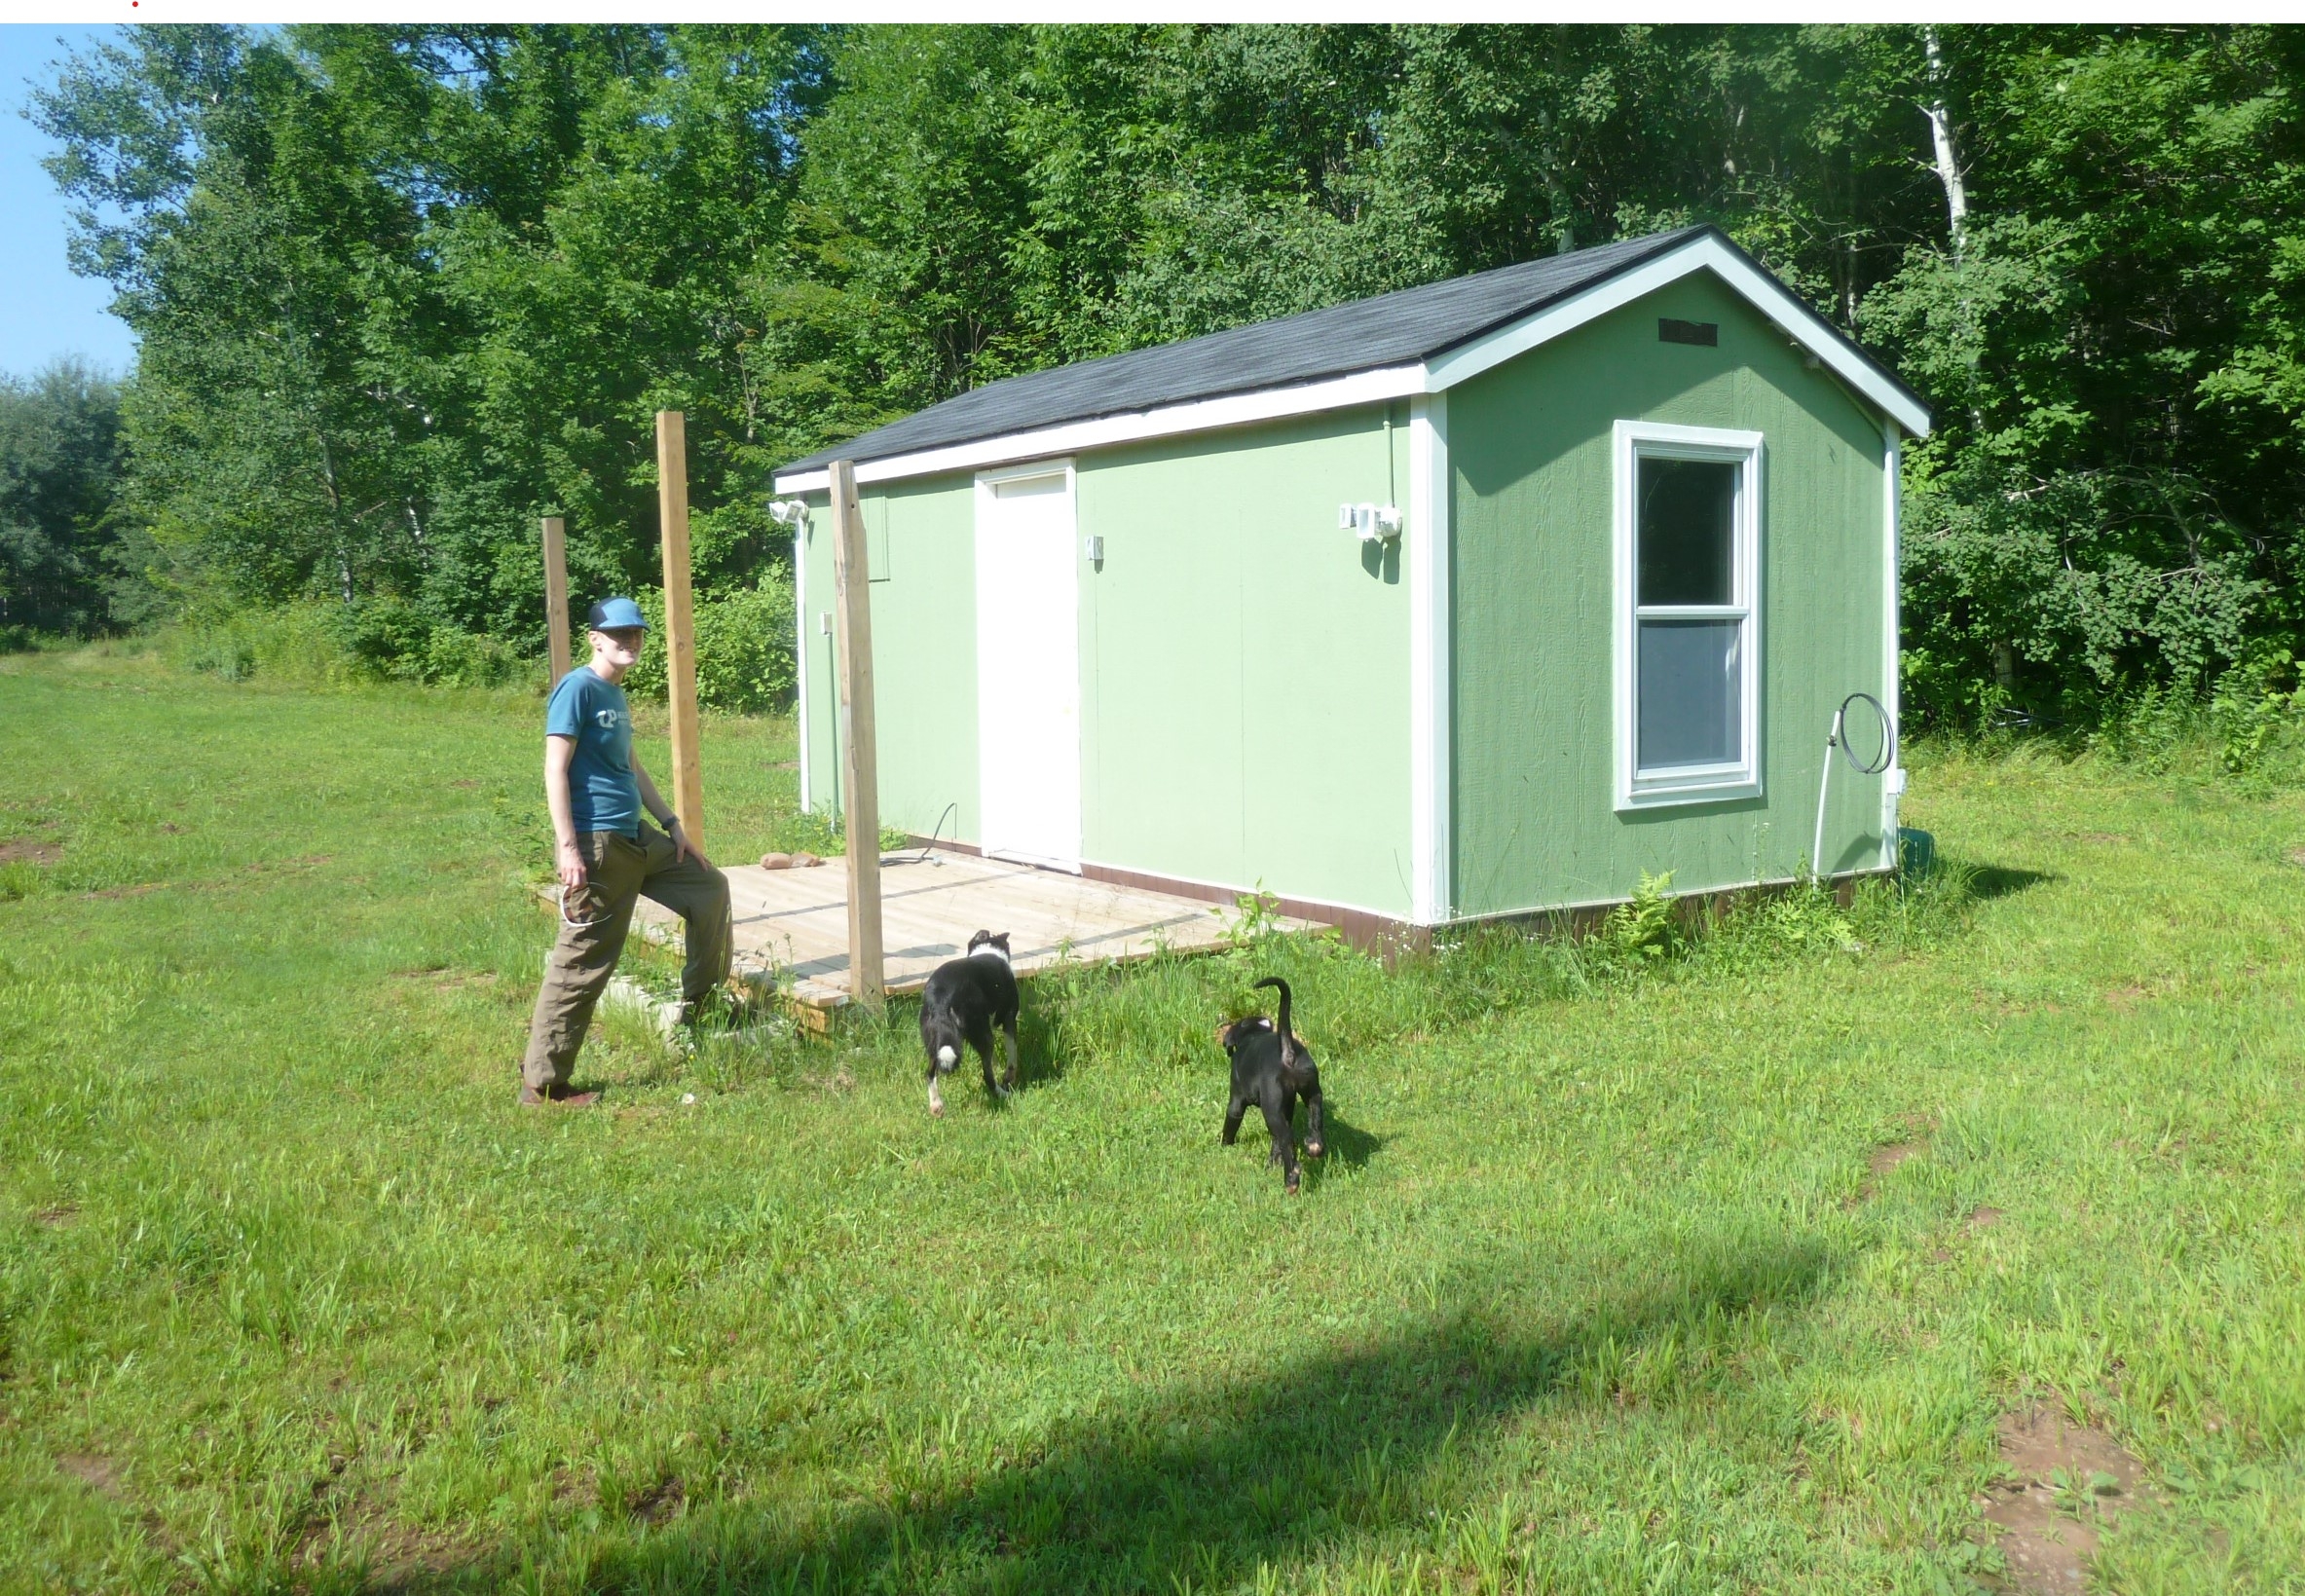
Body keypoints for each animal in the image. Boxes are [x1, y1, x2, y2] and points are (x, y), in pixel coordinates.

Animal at [917, 930, 1020, 1116]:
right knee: (987, 1076)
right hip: (984, 1036)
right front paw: (1009, 1078)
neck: (988, 947)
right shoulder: (1009, 1020)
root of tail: (941, 1000)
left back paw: (936, 1105)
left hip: (935, 1042)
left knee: (929, 1073)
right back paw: (1003, 1094)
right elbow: (1012, 1057)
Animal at [1218, 976, 1325, 1193]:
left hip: (1271, 1109)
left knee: (1287, 1139)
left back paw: (1291, 1179)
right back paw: (1313, 1146)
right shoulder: (1287, 1105)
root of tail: (1288, 1053)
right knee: (1314, 1117)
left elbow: (1230, 1124)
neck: (1252, 1036)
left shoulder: (1236, 1101)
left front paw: (1225, 1145)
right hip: (1311, 1091)